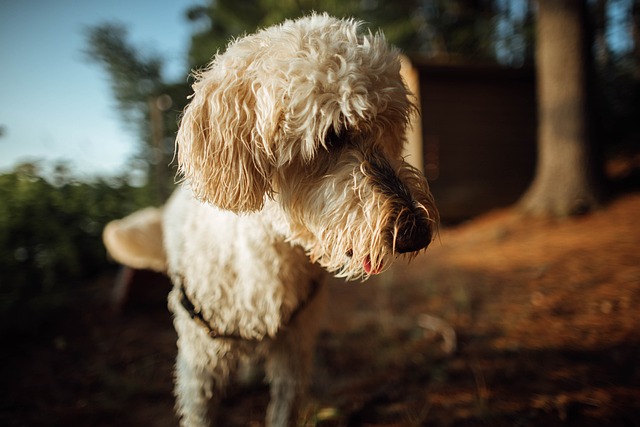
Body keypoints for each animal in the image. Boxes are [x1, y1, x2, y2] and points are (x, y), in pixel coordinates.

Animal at [102, 14, 438, 427]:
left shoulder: (294, 352)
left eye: (388, 126)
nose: (417, 232)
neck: (269, 253)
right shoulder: (199, 366)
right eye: (332, 136)